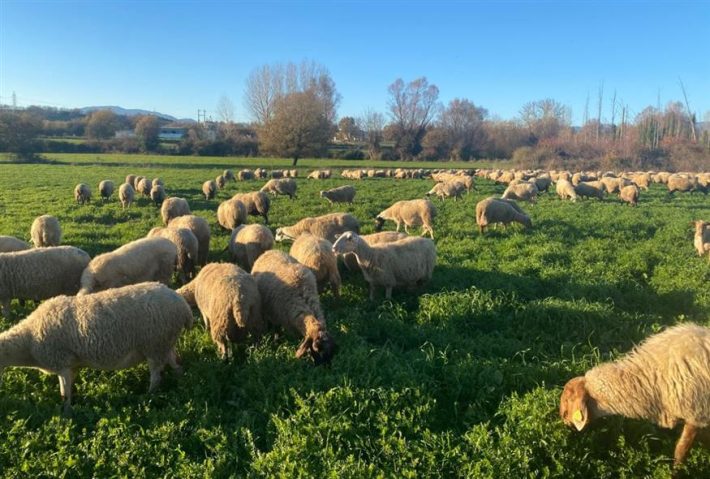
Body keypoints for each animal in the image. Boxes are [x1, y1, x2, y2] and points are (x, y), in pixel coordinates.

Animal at [0, 282, 193, 412]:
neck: (29, 342)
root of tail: (183, 305)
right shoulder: (71, 365)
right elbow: (68, 389)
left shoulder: (62, 362)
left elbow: (64, 393)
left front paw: (67, 413)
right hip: (165, 342)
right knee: (176, 363)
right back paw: (181, 384)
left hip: (154, 344)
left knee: (156, 376)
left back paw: (149, 396)